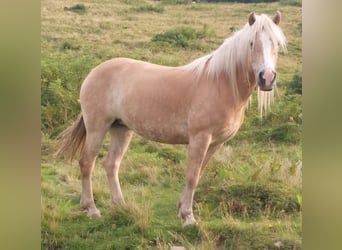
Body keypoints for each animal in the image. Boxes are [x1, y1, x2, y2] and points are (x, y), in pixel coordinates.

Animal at [56, 11, 286, 227]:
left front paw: (181, 208)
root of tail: (93, 72)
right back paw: (91, 209)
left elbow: (198, 174)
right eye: (252, 43)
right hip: (97, 127)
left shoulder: (216, 143)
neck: (220, 84)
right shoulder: (200, 138)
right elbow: (192, 176)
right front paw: (188, 217)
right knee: (87, 162)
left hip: (121, 129)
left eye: (276, 43)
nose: (267, 78)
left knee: (111, 164)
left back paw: (120, 205)